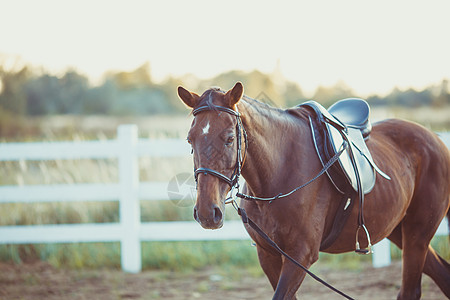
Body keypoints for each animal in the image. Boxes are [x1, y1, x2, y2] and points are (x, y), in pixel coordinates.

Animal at [177, 82, 450, 300]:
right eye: (190, 139)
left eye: (230, 138)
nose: (206, 213)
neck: (279, 174)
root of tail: (435, 138)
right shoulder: (268, 255)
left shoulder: (301, 256)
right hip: (399, 231)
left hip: (417, 234)